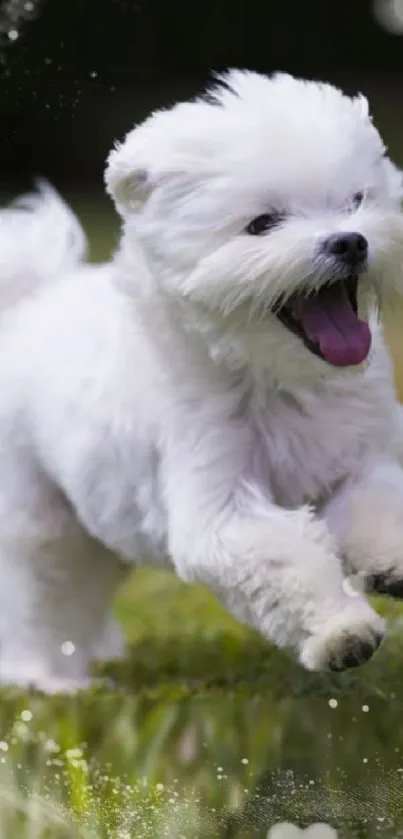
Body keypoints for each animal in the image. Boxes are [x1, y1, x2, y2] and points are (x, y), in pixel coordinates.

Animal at [0, 70, 403, 688]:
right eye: (263, 224)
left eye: (355, 200)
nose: (350, 241)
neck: (279, 377)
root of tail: (25, 306)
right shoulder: (218, 500)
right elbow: (281, 560)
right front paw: (341, 632)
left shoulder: (364, 454)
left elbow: (377, 505)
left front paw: (389, 564)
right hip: (38, 519)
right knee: (41, 596)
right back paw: (49, 682)